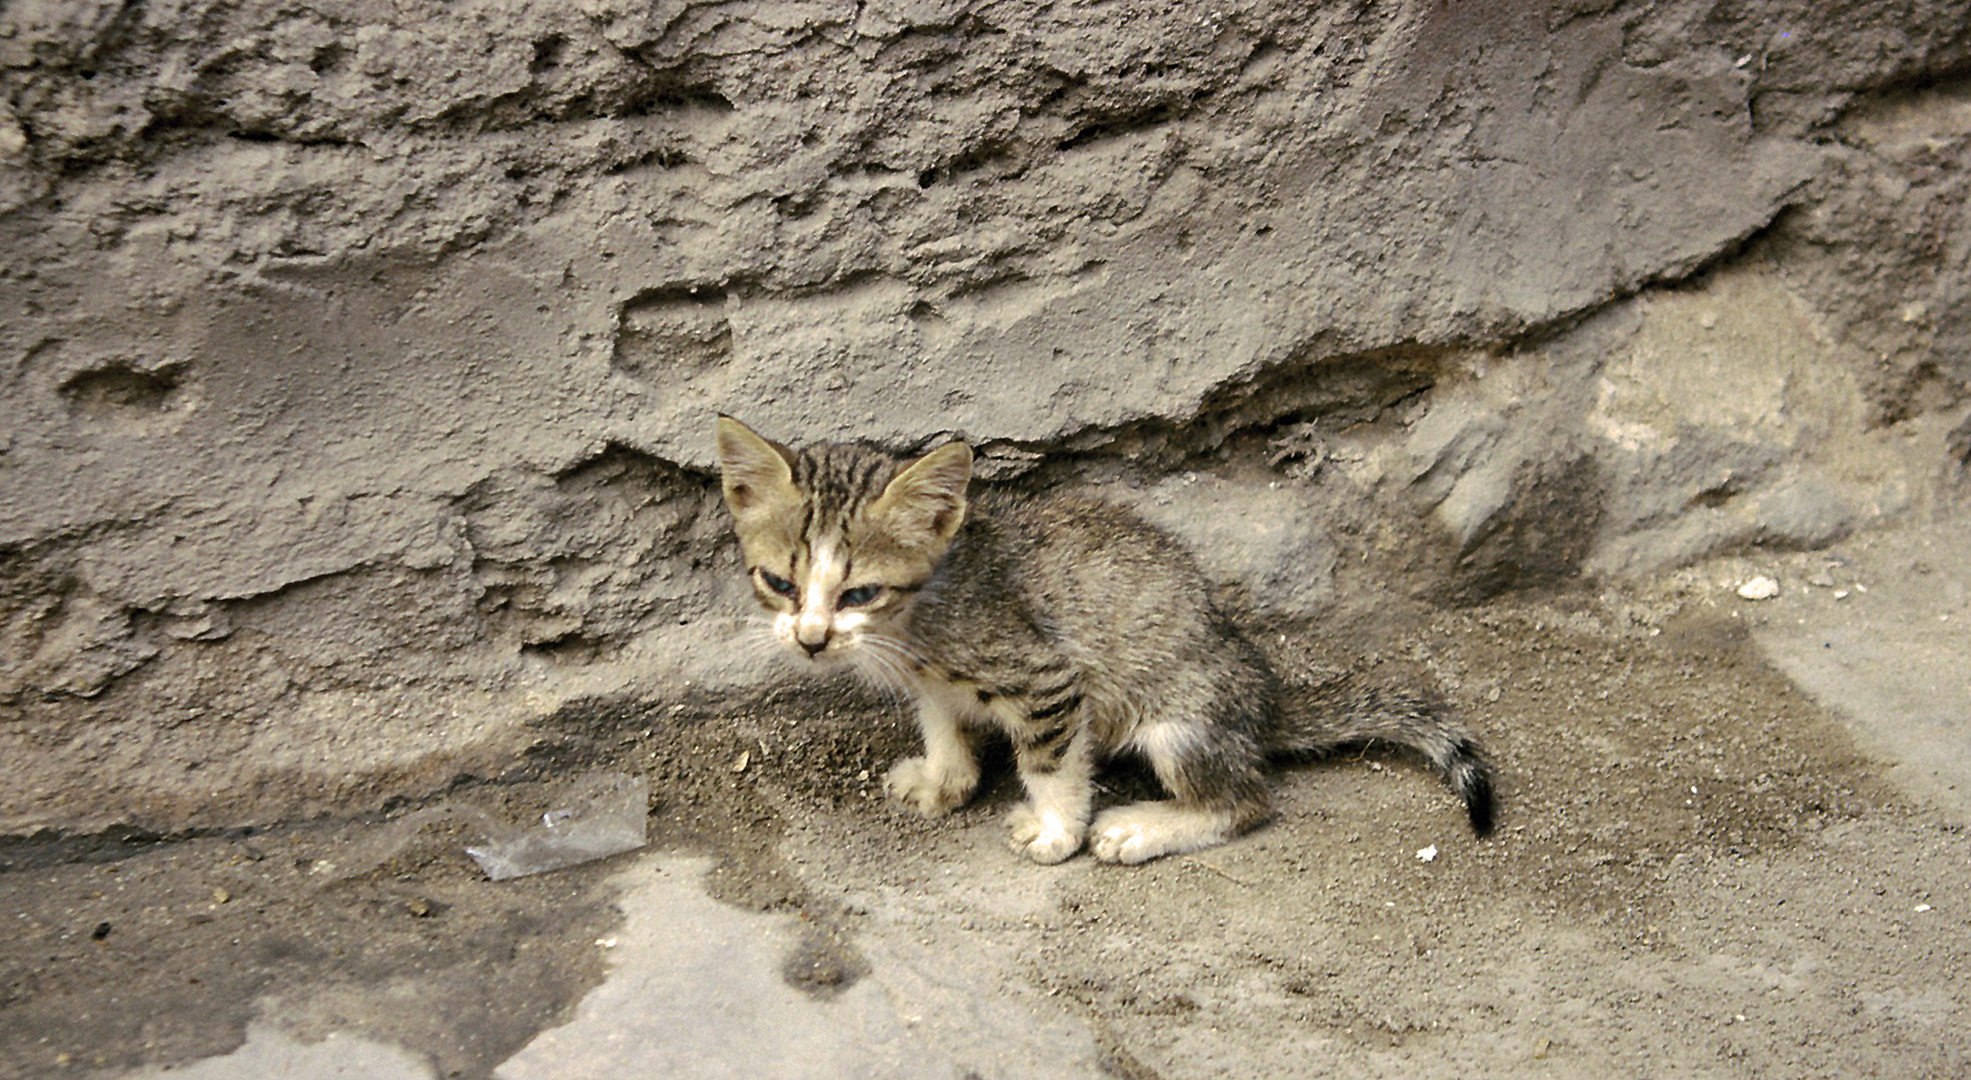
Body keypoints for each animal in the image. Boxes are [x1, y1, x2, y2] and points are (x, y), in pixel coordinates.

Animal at [717, 417, 1497, 863]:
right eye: (778, 583)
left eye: (859, 594)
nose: (811, 640)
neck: (919, 615)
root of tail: (1266, 697)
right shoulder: (933, 682)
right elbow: (943, 722)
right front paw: (945, 778)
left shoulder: (1047, 679)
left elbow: (1052, 764)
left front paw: (1056, 830)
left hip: (1182, 723)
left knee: (1247, 802)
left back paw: (1144, 829)